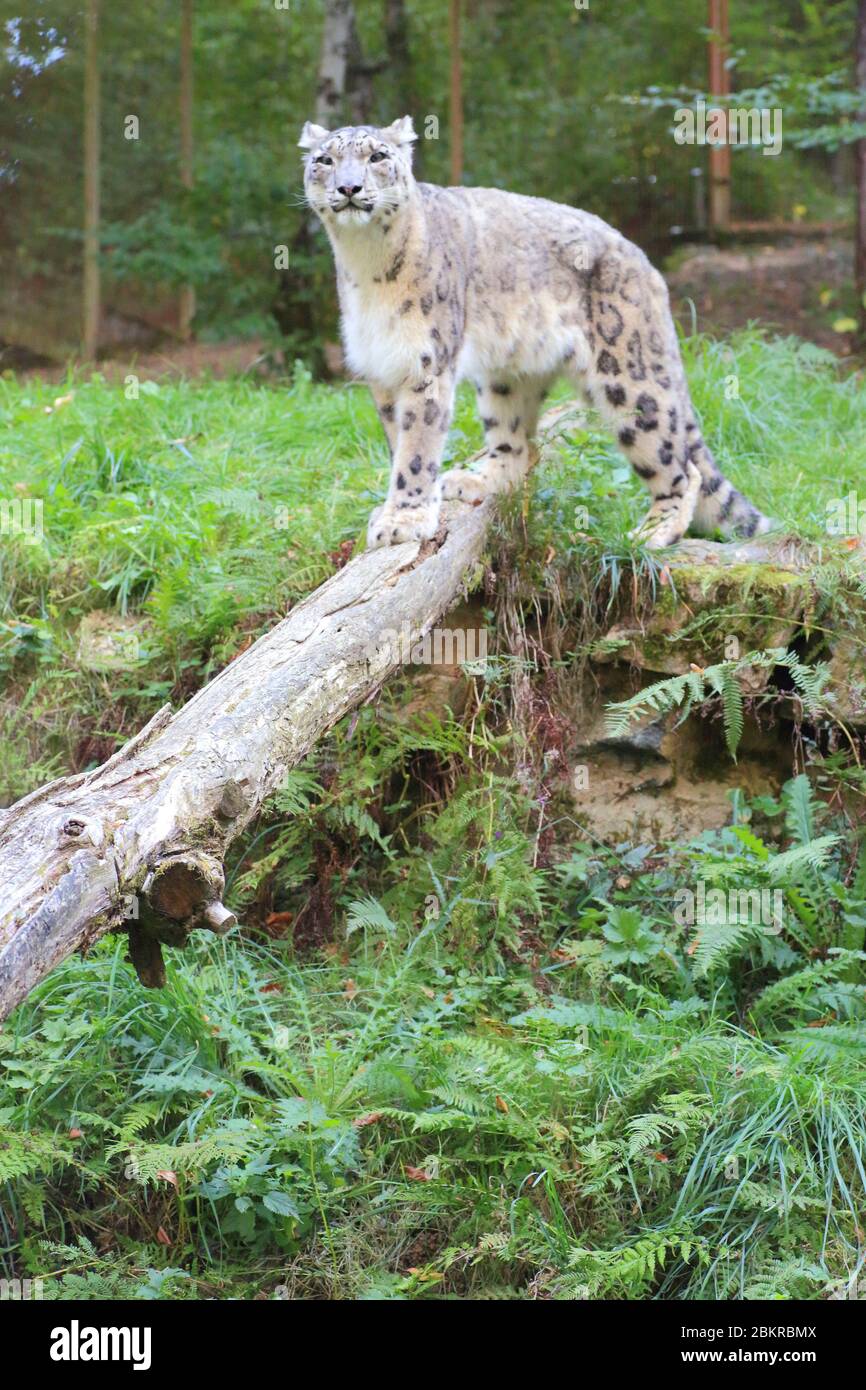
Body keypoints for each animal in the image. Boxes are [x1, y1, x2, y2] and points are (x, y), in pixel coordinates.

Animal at [301, 115, 767, 547]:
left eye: (377, 156)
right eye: (325, 160)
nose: (348, 188)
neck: (366, 267)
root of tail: (644, 260)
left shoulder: (425, 363)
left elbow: (416, 448)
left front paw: (403, 519)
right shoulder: (382, 364)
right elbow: (397, 441)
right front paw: (395, 509)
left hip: (629, 377)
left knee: (679, 464)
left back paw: (654, 531)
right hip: (506, 378)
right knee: (517, 445)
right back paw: (474, 479)